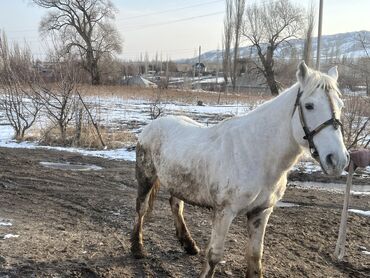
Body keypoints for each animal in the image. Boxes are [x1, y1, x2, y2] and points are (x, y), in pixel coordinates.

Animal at [131, 62, 350, 276]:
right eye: (309, 105)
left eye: (341, 105)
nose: (337, 160)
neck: (256, 154)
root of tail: (152, 125)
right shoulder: (224, 212)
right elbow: (214, 256)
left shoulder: (261, 212)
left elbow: (255, 257)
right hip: (146, 177)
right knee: (141, 208)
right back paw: (138, 249)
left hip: (179, 182)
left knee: (176, 205)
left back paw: (189, 245)